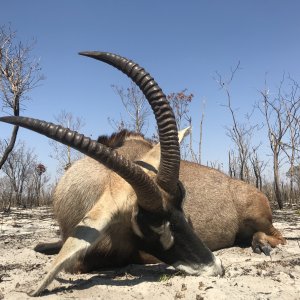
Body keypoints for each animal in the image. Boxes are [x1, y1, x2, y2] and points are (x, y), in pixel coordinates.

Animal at [0, 51, 284, 296]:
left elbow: (80, 263)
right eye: (151, 224)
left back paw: (261, 243)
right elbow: (41, 247)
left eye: (182, 204)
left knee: (277, 235)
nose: (216, 266)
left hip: (259, 218)